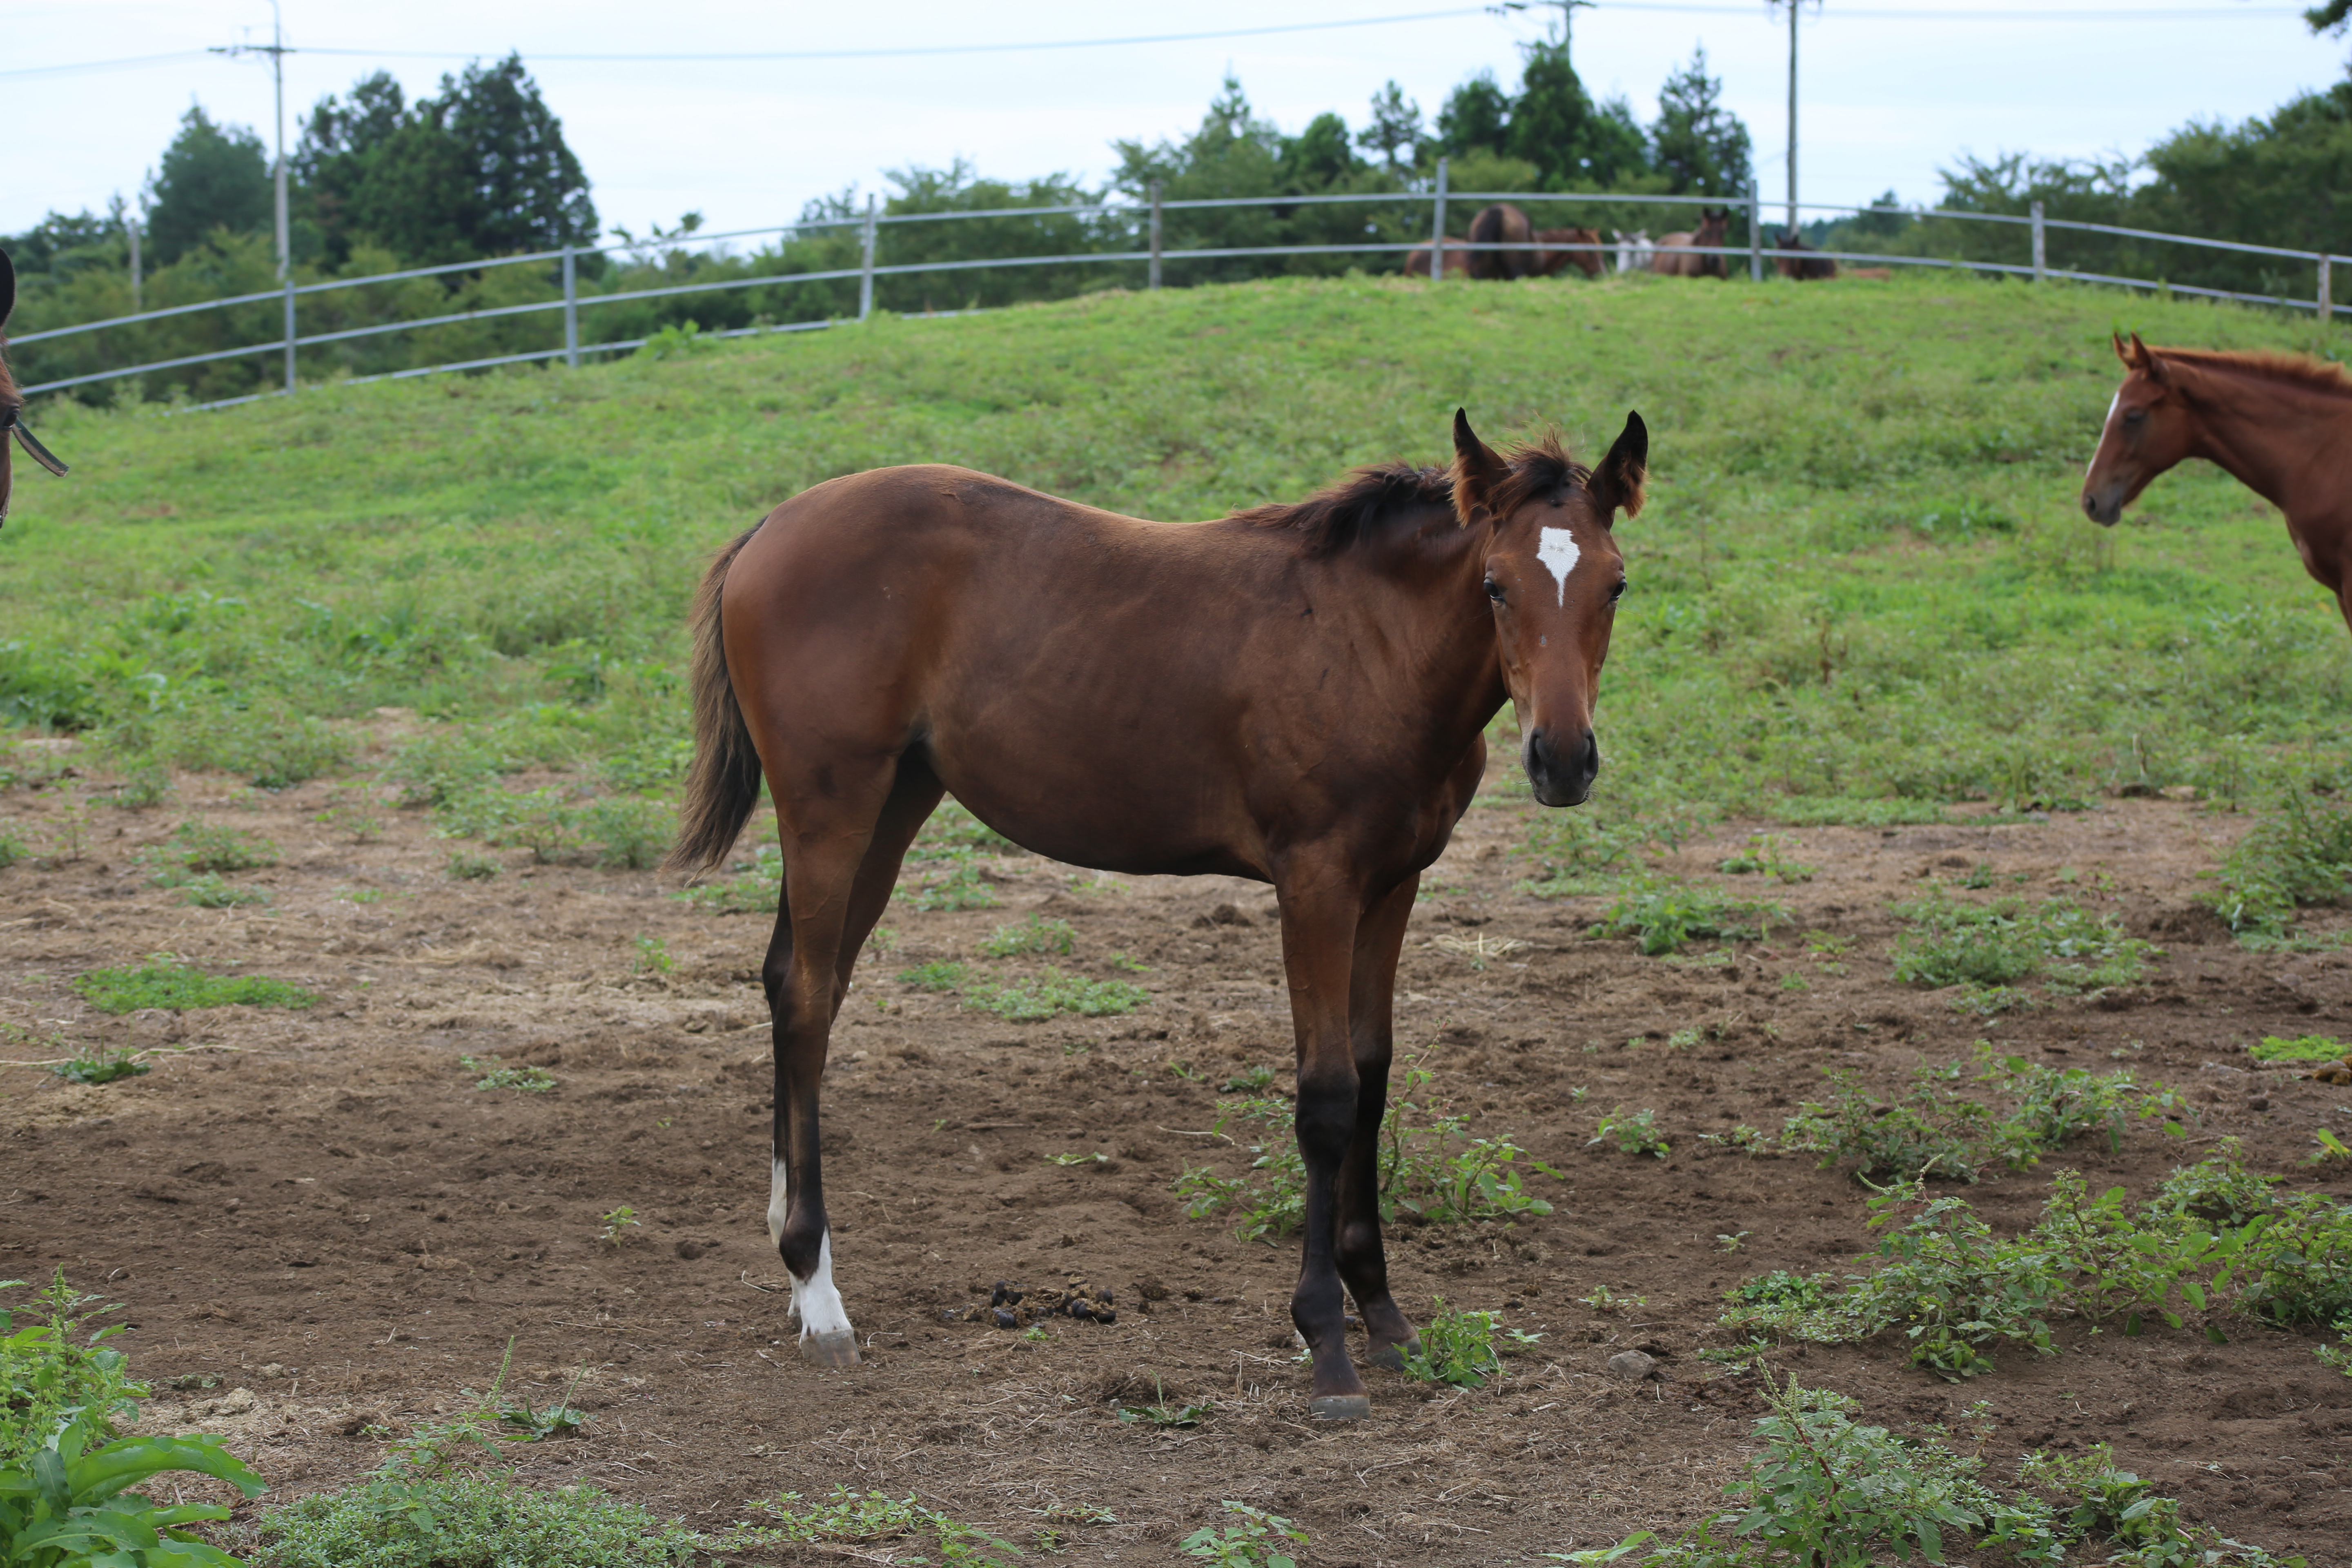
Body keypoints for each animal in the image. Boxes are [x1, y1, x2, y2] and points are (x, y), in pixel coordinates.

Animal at [673, 411, 1646, 1420]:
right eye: (1496, 584)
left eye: (1617, 583)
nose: (1562, 759)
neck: (1371, 643)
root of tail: (771, 528)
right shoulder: (1316, 883)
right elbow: (1327, 1098)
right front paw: (1326, 1345)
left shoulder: (1393, 885)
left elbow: (1374, 1081)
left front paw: (1383, 1315)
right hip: (832, 804)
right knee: (807, 999)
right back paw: (819, 1292)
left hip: (898, 799)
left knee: (800, 984)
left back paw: (794, 1270)